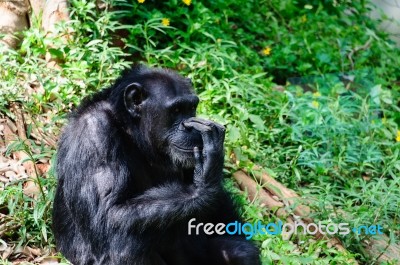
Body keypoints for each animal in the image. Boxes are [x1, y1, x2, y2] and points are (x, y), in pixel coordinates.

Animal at [52, 64, 260, 264]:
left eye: (191, 108)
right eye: (176, 110)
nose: (190, 127)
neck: (131, 129)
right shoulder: (94, 134)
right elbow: (107, 215)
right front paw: (205, 179)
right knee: (126, 247)